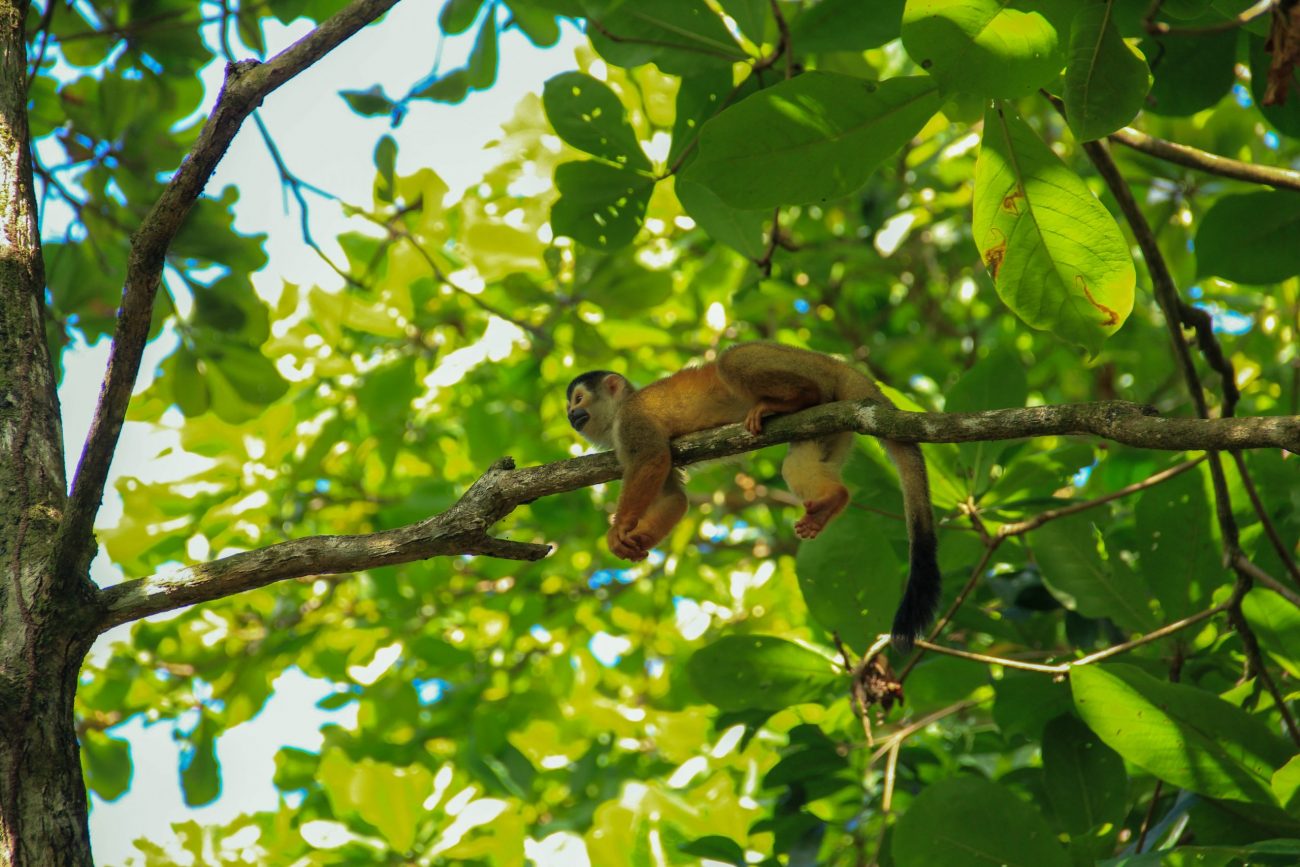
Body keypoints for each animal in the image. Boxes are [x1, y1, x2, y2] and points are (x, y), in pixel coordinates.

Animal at [564, 343, 941, 647]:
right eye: (569, 406)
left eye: (578, 399)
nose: (570, 415)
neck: (616, 416)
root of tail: (837, 364)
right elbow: (674, 498)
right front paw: (637, 540)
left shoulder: (632, 421)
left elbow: (653, 459)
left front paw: (620, 528)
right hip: (832, 422)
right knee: (799, 463)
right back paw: (832, 499)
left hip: (799, 364)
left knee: (732, 359)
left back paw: (796, 398)